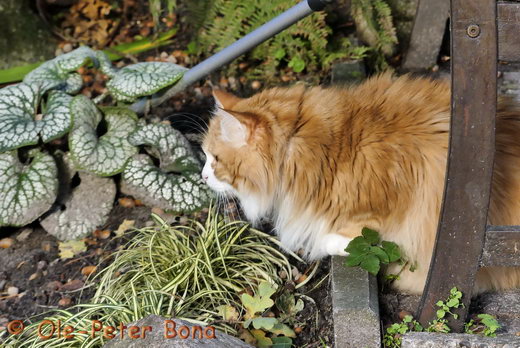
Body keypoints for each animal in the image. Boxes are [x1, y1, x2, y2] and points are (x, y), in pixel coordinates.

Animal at [201, 73, 520, 294]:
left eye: (214, 159)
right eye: (204, 155)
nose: (203, 176)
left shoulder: (387, 208)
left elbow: (349, 239)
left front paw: (318, 241)